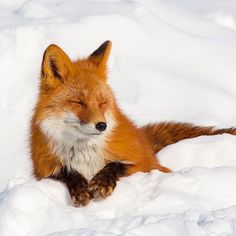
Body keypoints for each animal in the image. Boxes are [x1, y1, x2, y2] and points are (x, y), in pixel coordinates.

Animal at [30, 41, 236, 206]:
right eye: (79, 102)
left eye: (102, 103)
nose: (102, 126)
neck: (85, 153)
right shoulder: (43, 169)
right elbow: (66, 172)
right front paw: (80, 189)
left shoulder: (142, 164)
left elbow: (117, 165)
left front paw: (102, 183)